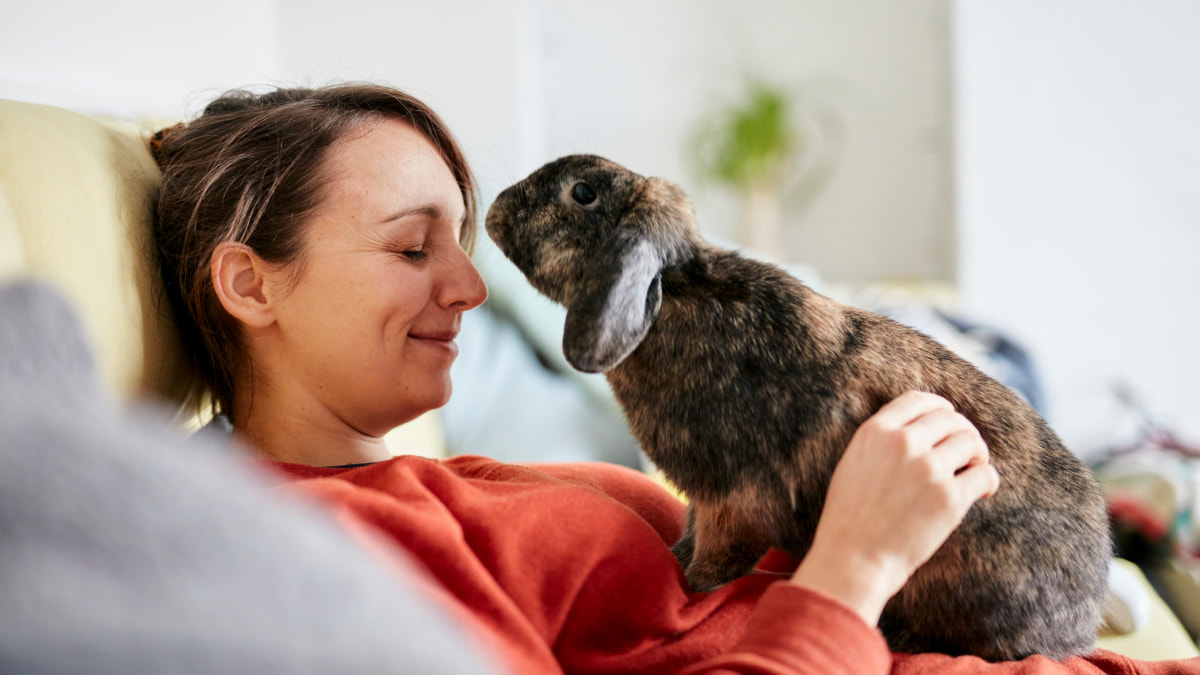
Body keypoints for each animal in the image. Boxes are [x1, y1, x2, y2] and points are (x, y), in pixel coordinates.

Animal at [482, 153, 1108, 658]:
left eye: (583, 193)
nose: (494, 210)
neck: (676, 293)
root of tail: (1080, 626)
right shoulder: (704, 501)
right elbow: (689, 536)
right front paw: (674, 562)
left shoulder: (732, 501)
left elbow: (715, 560)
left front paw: (689, 588)